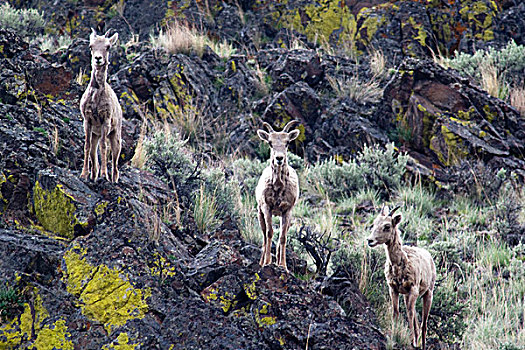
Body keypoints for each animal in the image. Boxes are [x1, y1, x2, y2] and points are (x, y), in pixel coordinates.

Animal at [80, 28, 123, 183]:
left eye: (108, 46)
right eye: (91, 46)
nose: (98, 59)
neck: (95, 98)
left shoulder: (105, 121)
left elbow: (104, 147)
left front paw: (104, 175)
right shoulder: (87, 122)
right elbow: (86, 146)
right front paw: (83, 175)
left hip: (116, 137)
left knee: (115, 164)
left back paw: (112, 179)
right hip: (95, 136)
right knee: (94, 155)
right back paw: (93, 176)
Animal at [254, 121, 298, 272]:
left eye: (287, 142)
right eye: (270, 142)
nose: (279, 158)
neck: (278, 187)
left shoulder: (287, 210)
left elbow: (283, 237)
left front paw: (283, 266)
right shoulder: (267, 207)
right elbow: (269, 233)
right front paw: (267, 262)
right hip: (260, 213)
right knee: (263, 235)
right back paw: (261, 262)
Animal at [366, 205, 436, 350]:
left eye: (387, 226)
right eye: (374, 224)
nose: (370, 240)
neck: (400, 264)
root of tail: (429, 257)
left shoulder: (413, 289)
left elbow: (409, 313)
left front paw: (413, 342)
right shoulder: (394, 289)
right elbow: (396, 312)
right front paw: (395, 335)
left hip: (428, 293)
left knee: (423, 323)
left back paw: (421, 344)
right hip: (407, 296)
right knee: (417, 319)